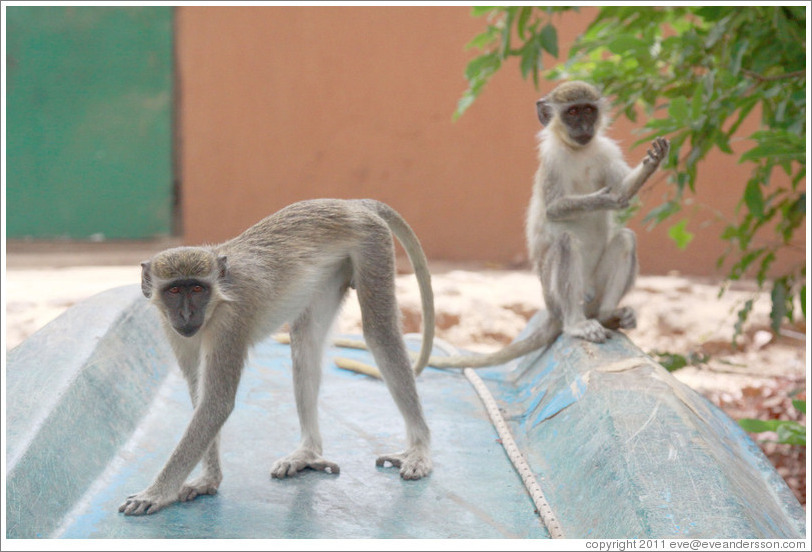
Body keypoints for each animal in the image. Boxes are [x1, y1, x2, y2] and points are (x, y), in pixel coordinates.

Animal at [118, 199, 434, 516]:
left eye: (196, 288)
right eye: (173, 290)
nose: (186, 314)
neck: (216, 300)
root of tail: (348, 203)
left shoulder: (230, 323)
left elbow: (216, 405)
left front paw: (157, 493)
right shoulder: (172, 329)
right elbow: (202, 400)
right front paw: (208, 479)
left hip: (371, 243)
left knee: (380, 333)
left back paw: (419, 448)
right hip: (331, 271)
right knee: (306, 342)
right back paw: (308, 452)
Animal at [428, 80, 668, 368]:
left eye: (588, 111)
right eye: (572, 112)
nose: (584, 127)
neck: (578, 150)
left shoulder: (606, 149)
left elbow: (623, 190)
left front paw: (653, 161)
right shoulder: (552, 159)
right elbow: (554, 210)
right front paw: (604, 200)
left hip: (593, 293)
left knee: (625, 240)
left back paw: (608, 315)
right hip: (556, 298)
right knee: (566, 243)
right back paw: (577, 324)